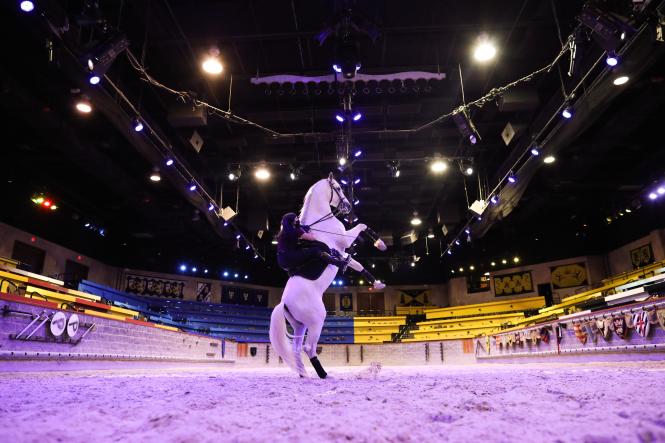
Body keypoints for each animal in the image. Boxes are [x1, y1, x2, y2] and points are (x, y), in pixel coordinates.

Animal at [268, 173, 384, 378]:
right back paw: (323, 375)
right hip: (316, 320)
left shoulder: (341, 251)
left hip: (300, 325)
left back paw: (303, 374)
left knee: (297, 349)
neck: (320, 224)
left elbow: (356, 264)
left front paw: (377, 283)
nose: (348, 207)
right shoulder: (344, 242)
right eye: (338, 187)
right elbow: (362, 226)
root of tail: (284, 304)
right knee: (308, 348)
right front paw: (380, 243)